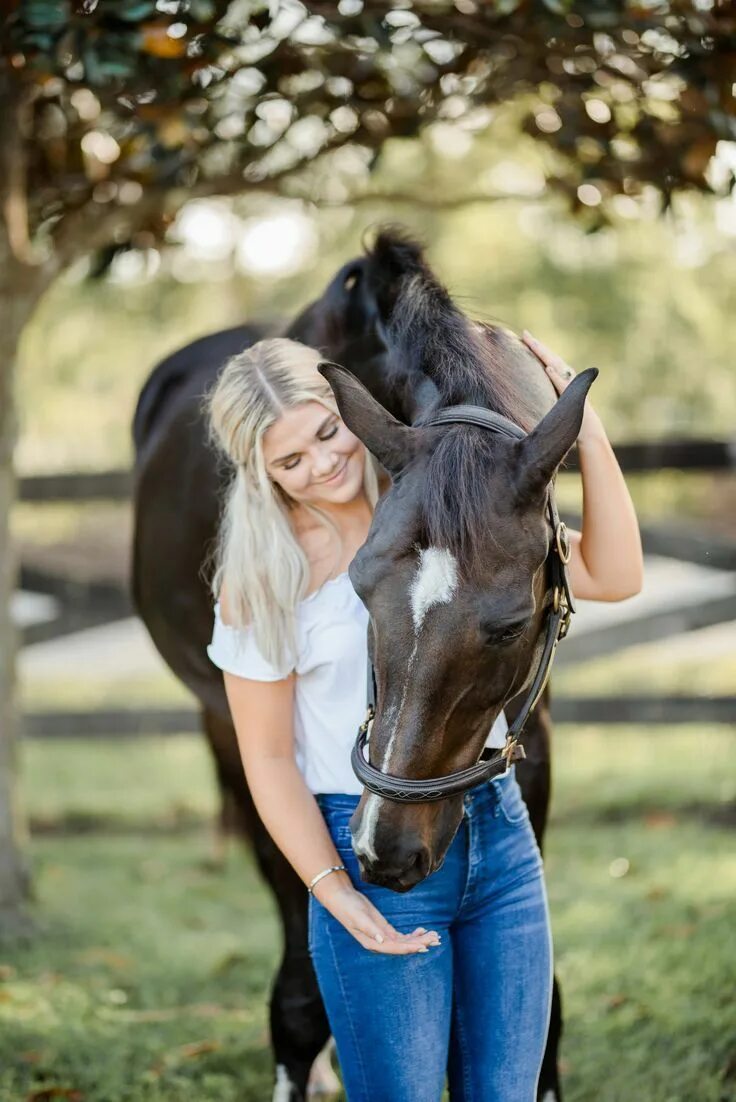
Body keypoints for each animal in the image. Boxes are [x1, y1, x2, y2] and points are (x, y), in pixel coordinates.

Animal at [132, 232, 568, 1102]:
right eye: (361, 590)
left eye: (509, 624)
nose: (383, 852)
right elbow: (304, 988)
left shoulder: (529, 731)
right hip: (221, 724)